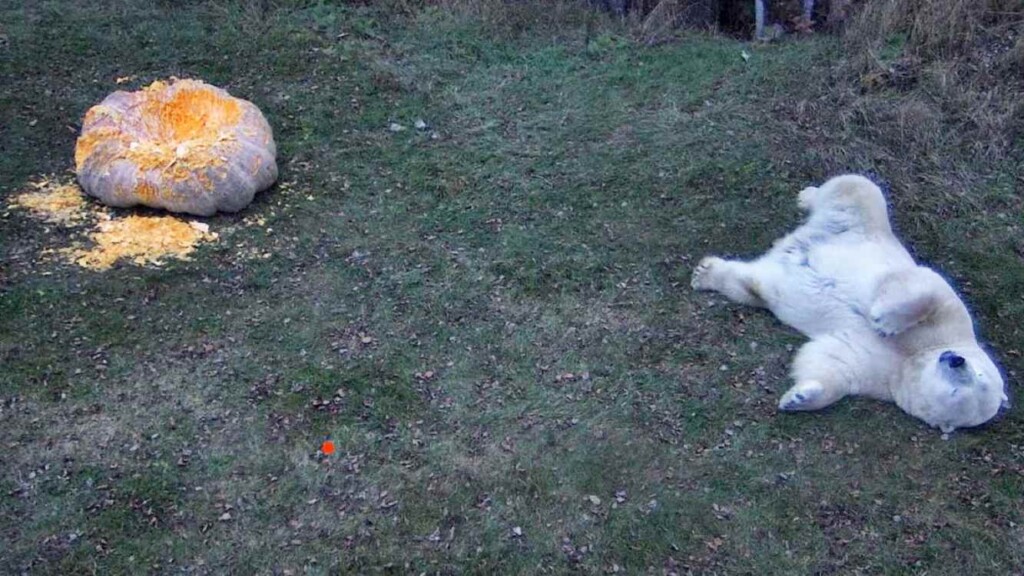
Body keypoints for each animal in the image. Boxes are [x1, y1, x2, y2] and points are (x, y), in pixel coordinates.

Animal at [691, 174, 1009, 434]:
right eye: (979, 372)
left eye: (969, 384)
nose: (955, 359)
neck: (914, 358)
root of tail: (789, 246)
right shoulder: (953, 328)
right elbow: (933, 291)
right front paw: (885, 320)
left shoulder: (882, 375)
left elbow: (832, 362)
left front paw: (799, 398)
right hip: (861, 221)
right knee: (857, 187)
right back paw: (807, 196)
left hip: (768, 285)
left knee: (748, 286)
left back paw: (706, 274)